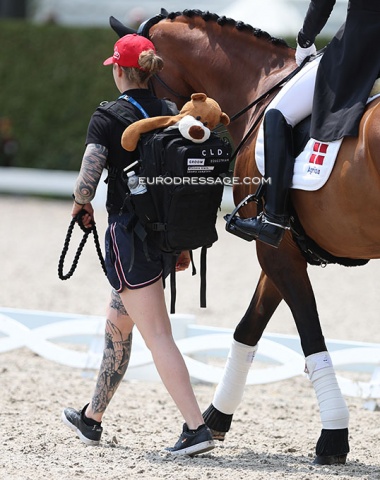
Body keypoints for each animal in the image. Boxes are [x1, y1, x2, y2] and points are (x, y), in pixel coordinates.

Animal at [110, 8, 380, 464]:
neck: (260, 84)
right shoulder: (281, 250)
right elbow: (247, 329)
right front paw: (215, 418)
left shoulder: (275, 250)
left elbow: (309, 334)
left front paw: (333, 438)